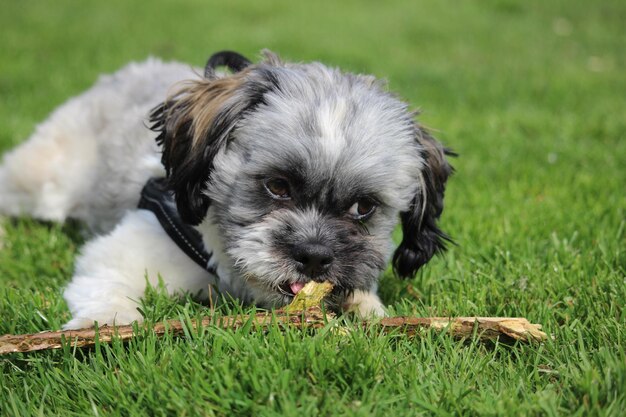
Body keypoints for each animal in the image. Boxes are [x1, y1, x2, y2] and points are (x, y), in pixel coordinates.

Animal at [0, 49, 448, 328]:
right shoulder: (120, 252)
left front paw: (367, 308)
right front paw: (106, 323)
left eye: (363, 207)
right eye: (278, 186)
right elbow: (108, 287)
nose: (314, 256)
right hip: (43, 181)